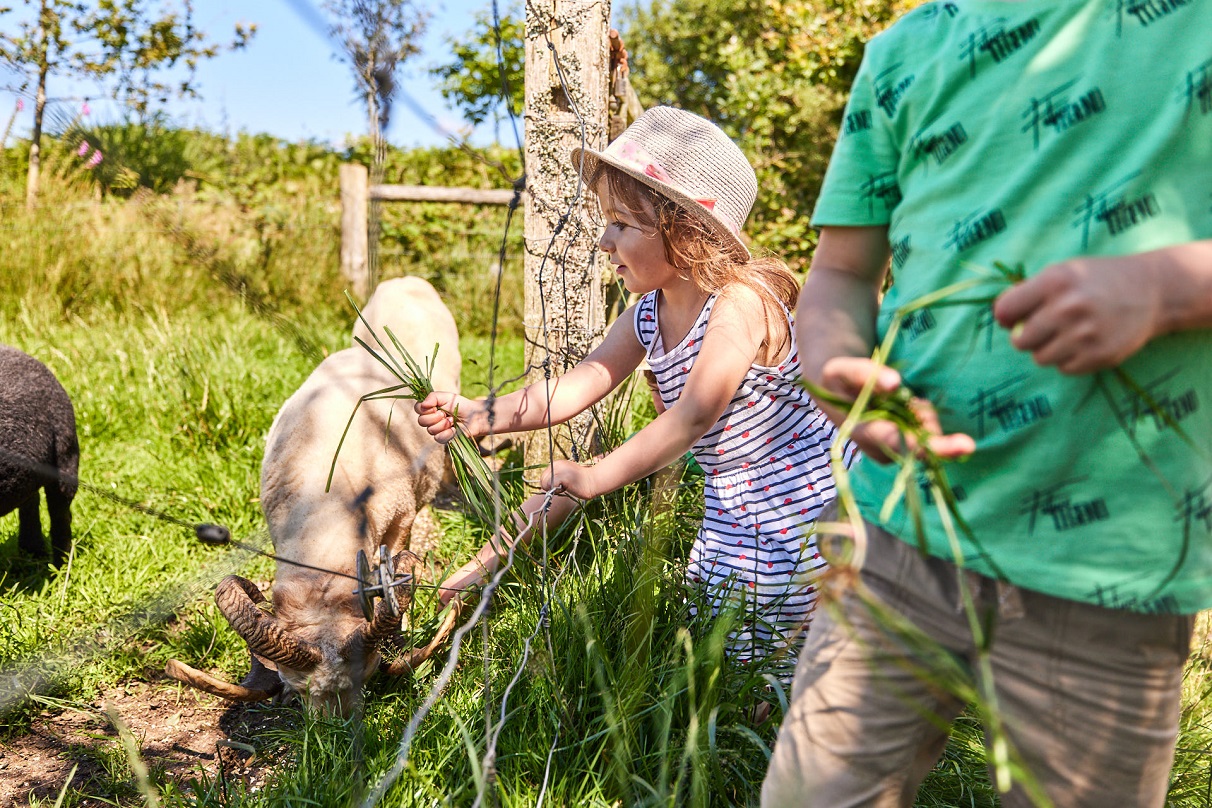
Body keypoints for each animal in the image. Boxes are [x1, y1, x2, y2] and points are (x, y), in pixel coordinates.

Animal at [173, 278, 465, 712]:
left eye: (368, 677)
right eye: (295, 690)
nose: (336, 728)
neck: (326, 506)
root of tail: (405, 280)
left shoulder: (400, 520)